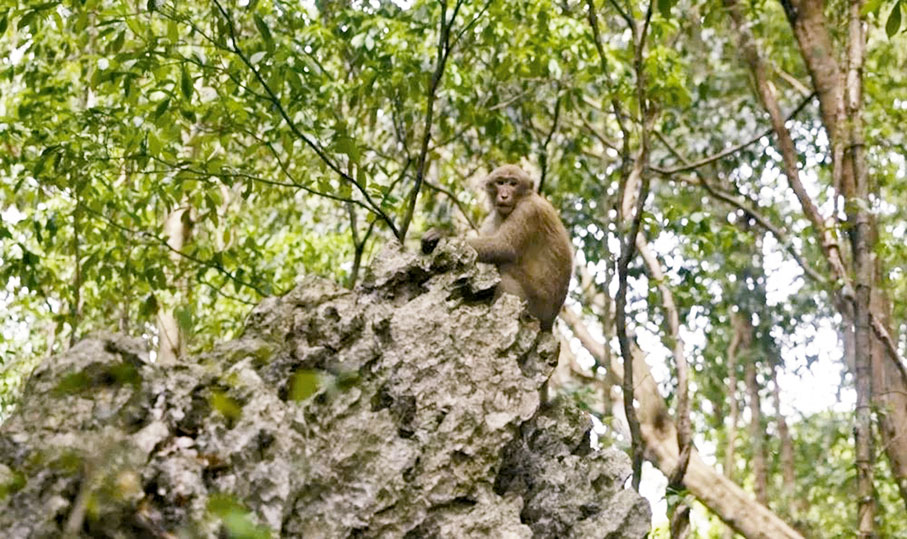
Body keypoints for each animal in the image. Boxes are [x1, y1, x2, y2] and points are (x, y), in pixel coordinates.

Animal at [422, 165, 572, 332]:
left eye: (513, 183)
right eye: (500, 182)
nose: (504, 195)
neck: (522, 198)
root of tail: (549, 323)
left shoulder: (528, 211)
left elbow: (504, 246)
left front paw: (443, 237)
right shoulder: (492, 220)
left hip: (538, 305)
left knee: (507, 267)